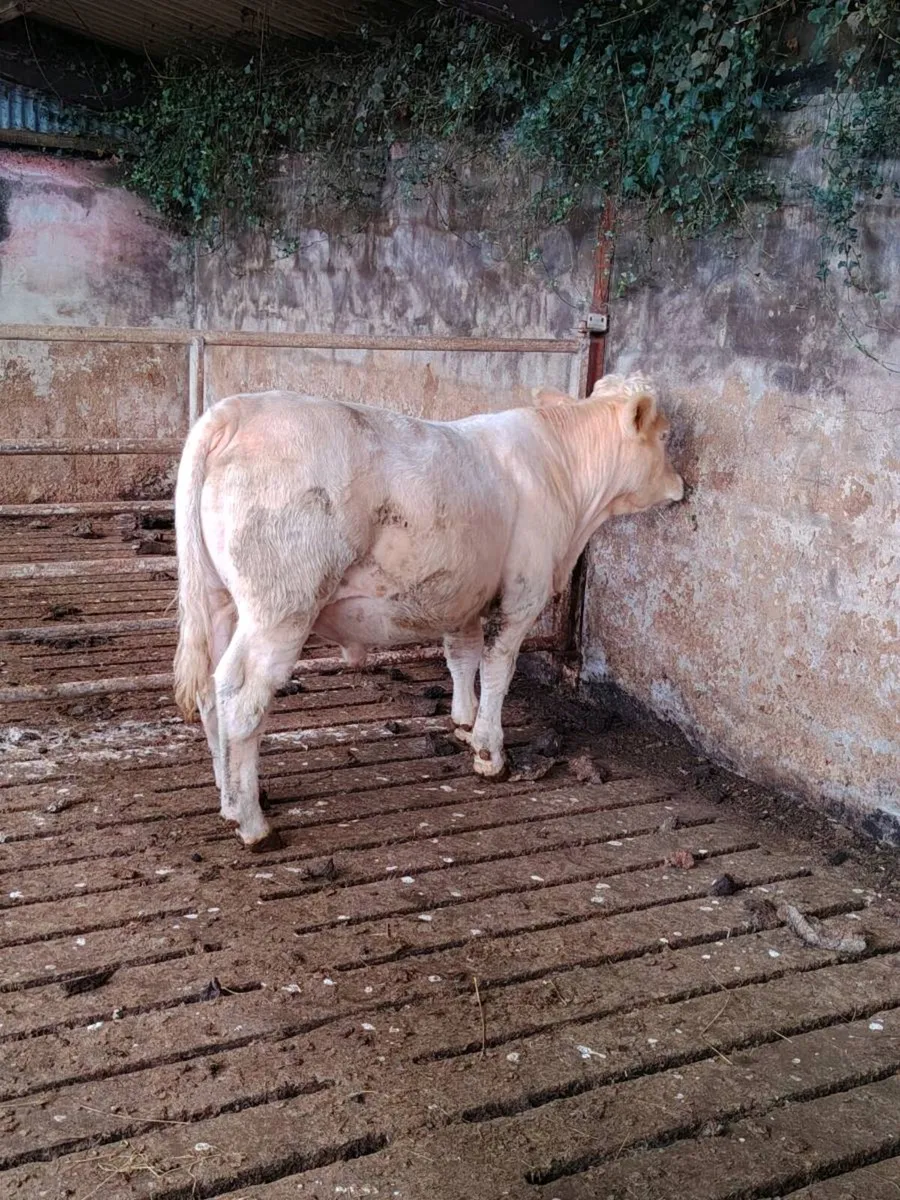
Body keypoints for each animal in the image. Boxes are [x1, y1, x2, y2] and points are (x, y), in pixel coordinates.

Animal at [174, 374, 683, 849]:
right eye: (664, 436)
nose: (682, 484)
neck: (567, 479)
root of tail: (235, 411)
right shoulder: (524, 593)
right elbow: (497, 669)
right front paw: (489, 753)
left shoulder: (463, 592)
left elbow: (463, 656)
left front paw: (464, 721)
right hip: (281, 607)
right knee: (241, 697)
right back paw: (252, 823)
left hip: (221, 602)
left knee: (210, 689)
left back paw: (230, 796)